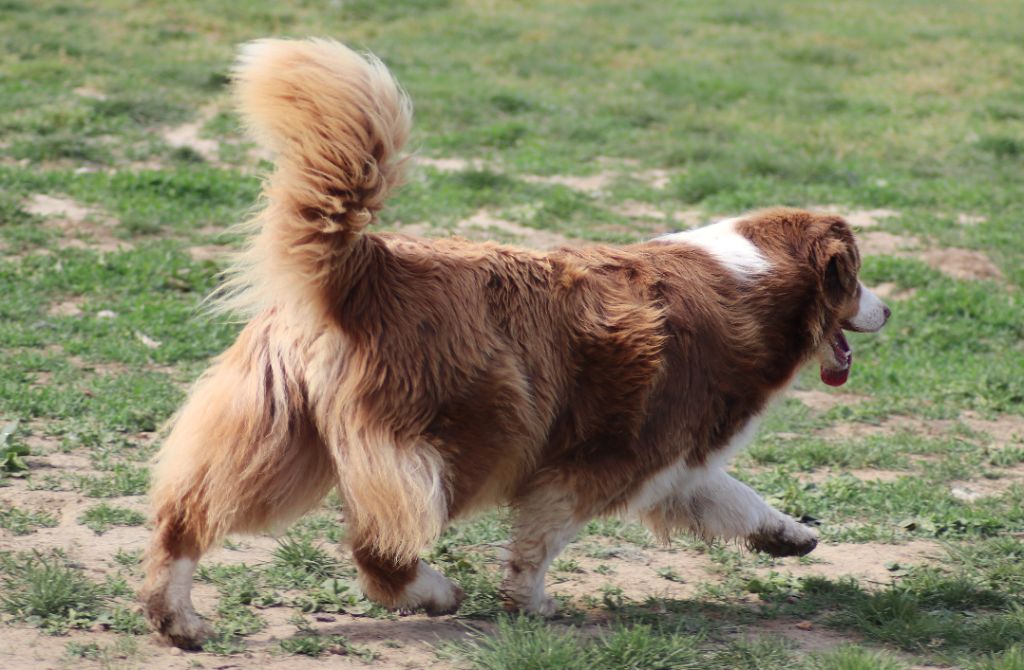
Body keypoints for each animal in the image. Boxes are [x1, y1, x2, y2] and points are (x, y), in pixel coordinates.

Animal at [140, 38, 890, 649]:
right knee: (379, 549)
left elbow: (733, 498)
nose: (888, 310)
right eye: (855, 276)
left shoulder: (676, 462)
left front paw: (792, 536)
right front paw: (529, 604)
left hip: (277, 429)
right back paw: (436, 593)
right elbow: (542, 537)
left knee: (188, 513)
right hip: (479, 426)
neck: (753, 277)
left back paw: (177, 619)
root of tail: (366, 265)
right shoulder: (604, 459)